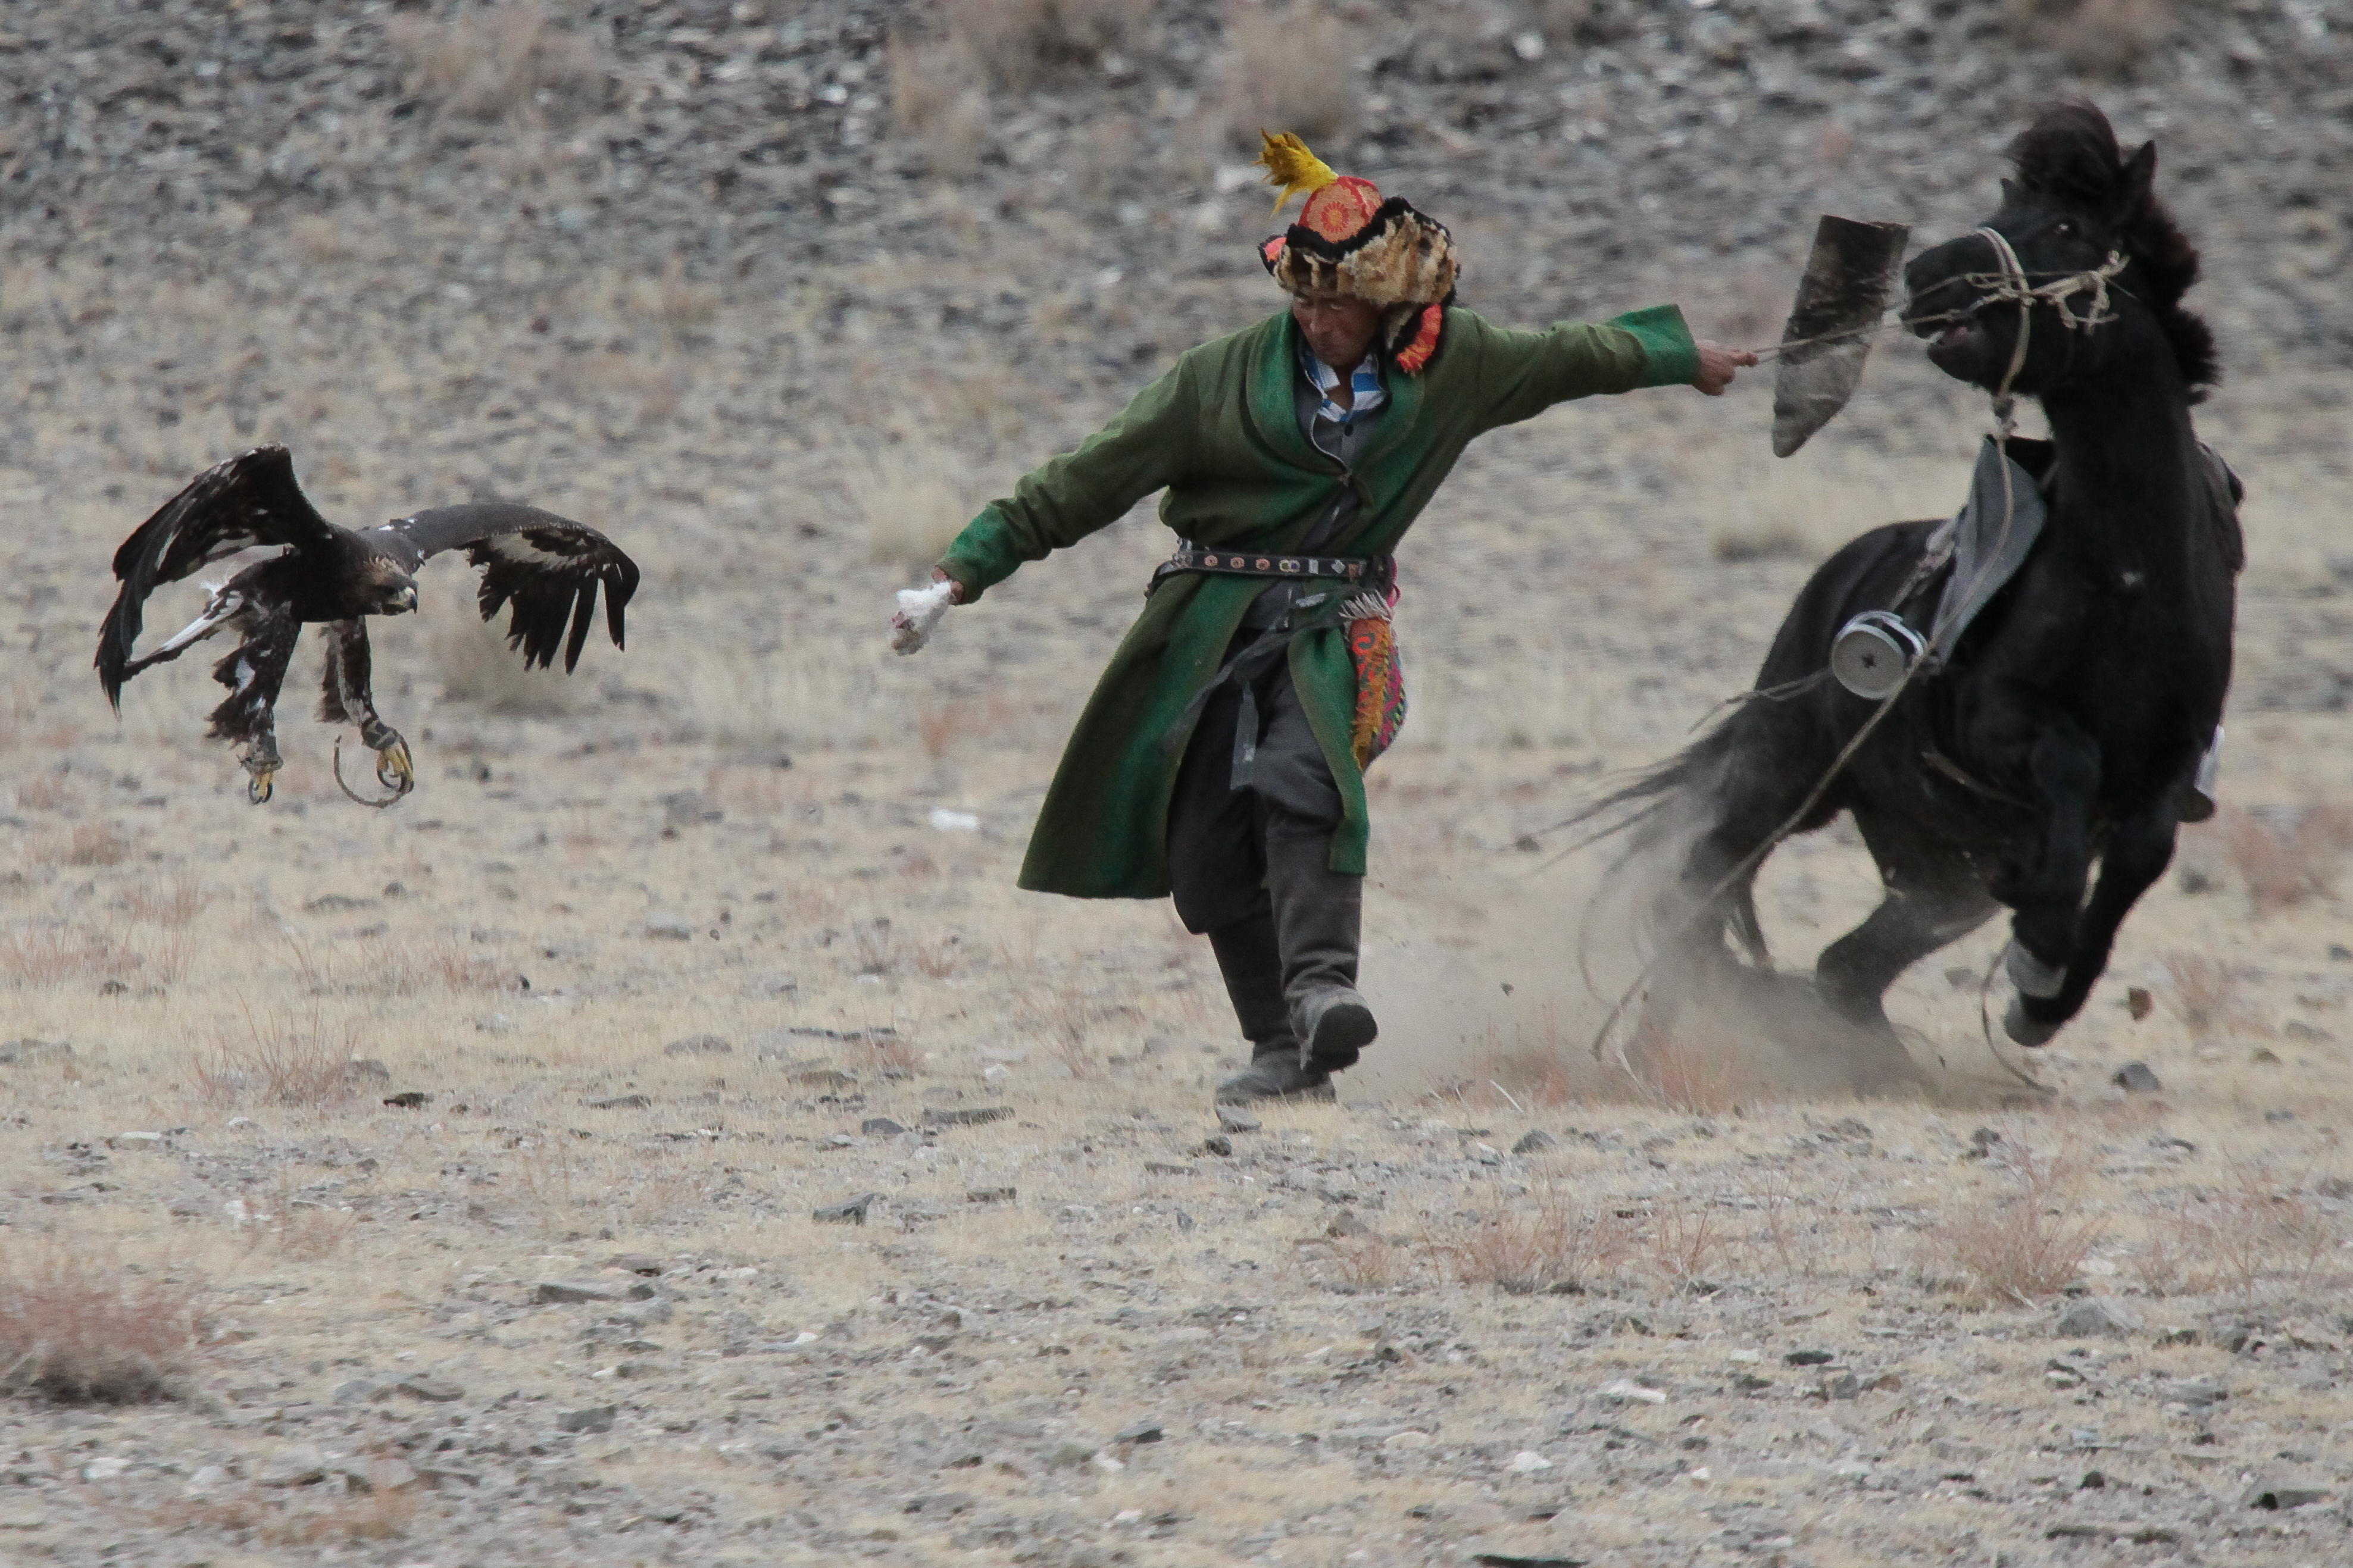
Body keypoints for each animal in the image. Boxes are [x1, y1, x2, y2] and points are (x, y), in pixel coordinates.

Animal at [1590, 104, 2230, 1091]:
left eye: (2064, 227)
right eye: (2003, 209)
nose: (1927, 275)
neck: (2130, 573)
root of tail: (1832, 579)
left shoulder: (2172, 755)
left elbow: (2141, 847)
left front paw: (2044, 989)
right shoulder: (1991, 721)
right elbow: (2068, 758)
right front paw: (2041, 941)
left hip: (1935, 874)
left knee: (1844, 967)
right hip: (1783, 776)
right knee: (1698, 889)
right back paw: (1663, 1040)